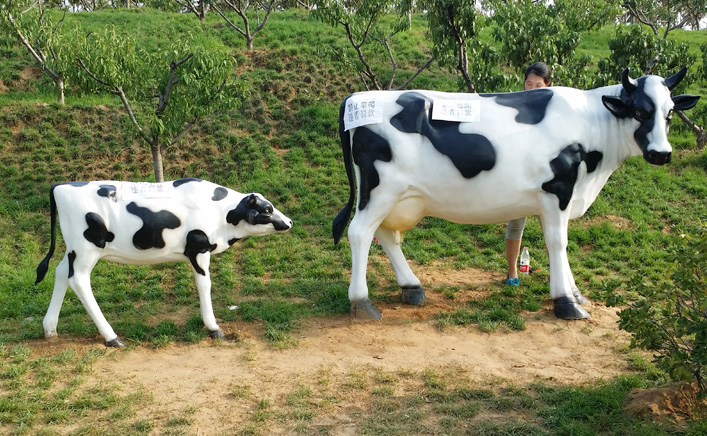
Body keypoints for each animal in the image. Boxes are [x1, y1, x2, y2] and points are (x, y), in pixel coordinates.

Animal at [35, 177, 290, 348]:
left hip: (74, 250)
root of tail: (61, 186)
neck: (218, 211)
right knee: (78, 280)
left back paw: (50, 328)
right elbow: (204, 285)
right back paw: (111, 337)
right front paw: (213, 327)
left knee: (61, 272)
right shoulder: (198, 248)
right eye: (267, 209)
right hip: (86, 250)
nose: (289, 221)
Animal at [334, 67, 700, 320]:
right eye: (639, 112)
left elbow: (561, 242)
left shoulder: (561, 197)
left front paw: (576, 293)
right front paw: (566, 302)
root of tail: (357, 97)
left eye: (669, 113)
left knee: (384, 235)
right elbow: (558, 242)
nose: (662, 154)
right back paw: (362, 302)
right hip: (381, 188)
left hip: (394, 196)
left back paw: (411, 287)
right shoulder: (558, 189)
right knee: (359, 232)